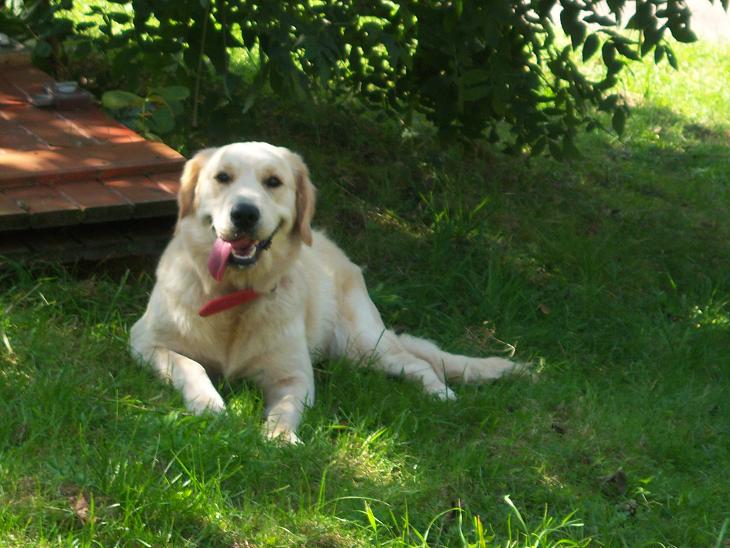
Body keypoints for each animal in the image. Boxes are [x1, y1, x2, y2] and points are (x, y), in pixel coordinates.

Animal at [130, 142, 520, 442]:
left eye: (273, 182)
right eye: (222, 177)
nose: (244, 214)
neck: (233, 296)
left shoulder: (294, 375)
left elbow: (286, 409)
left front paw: (280, 439)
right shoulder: (144, 341)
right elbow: (191, 365)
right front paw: (209, 405)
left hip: (364, 345)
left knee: (419, 363)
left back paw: (442, 395)